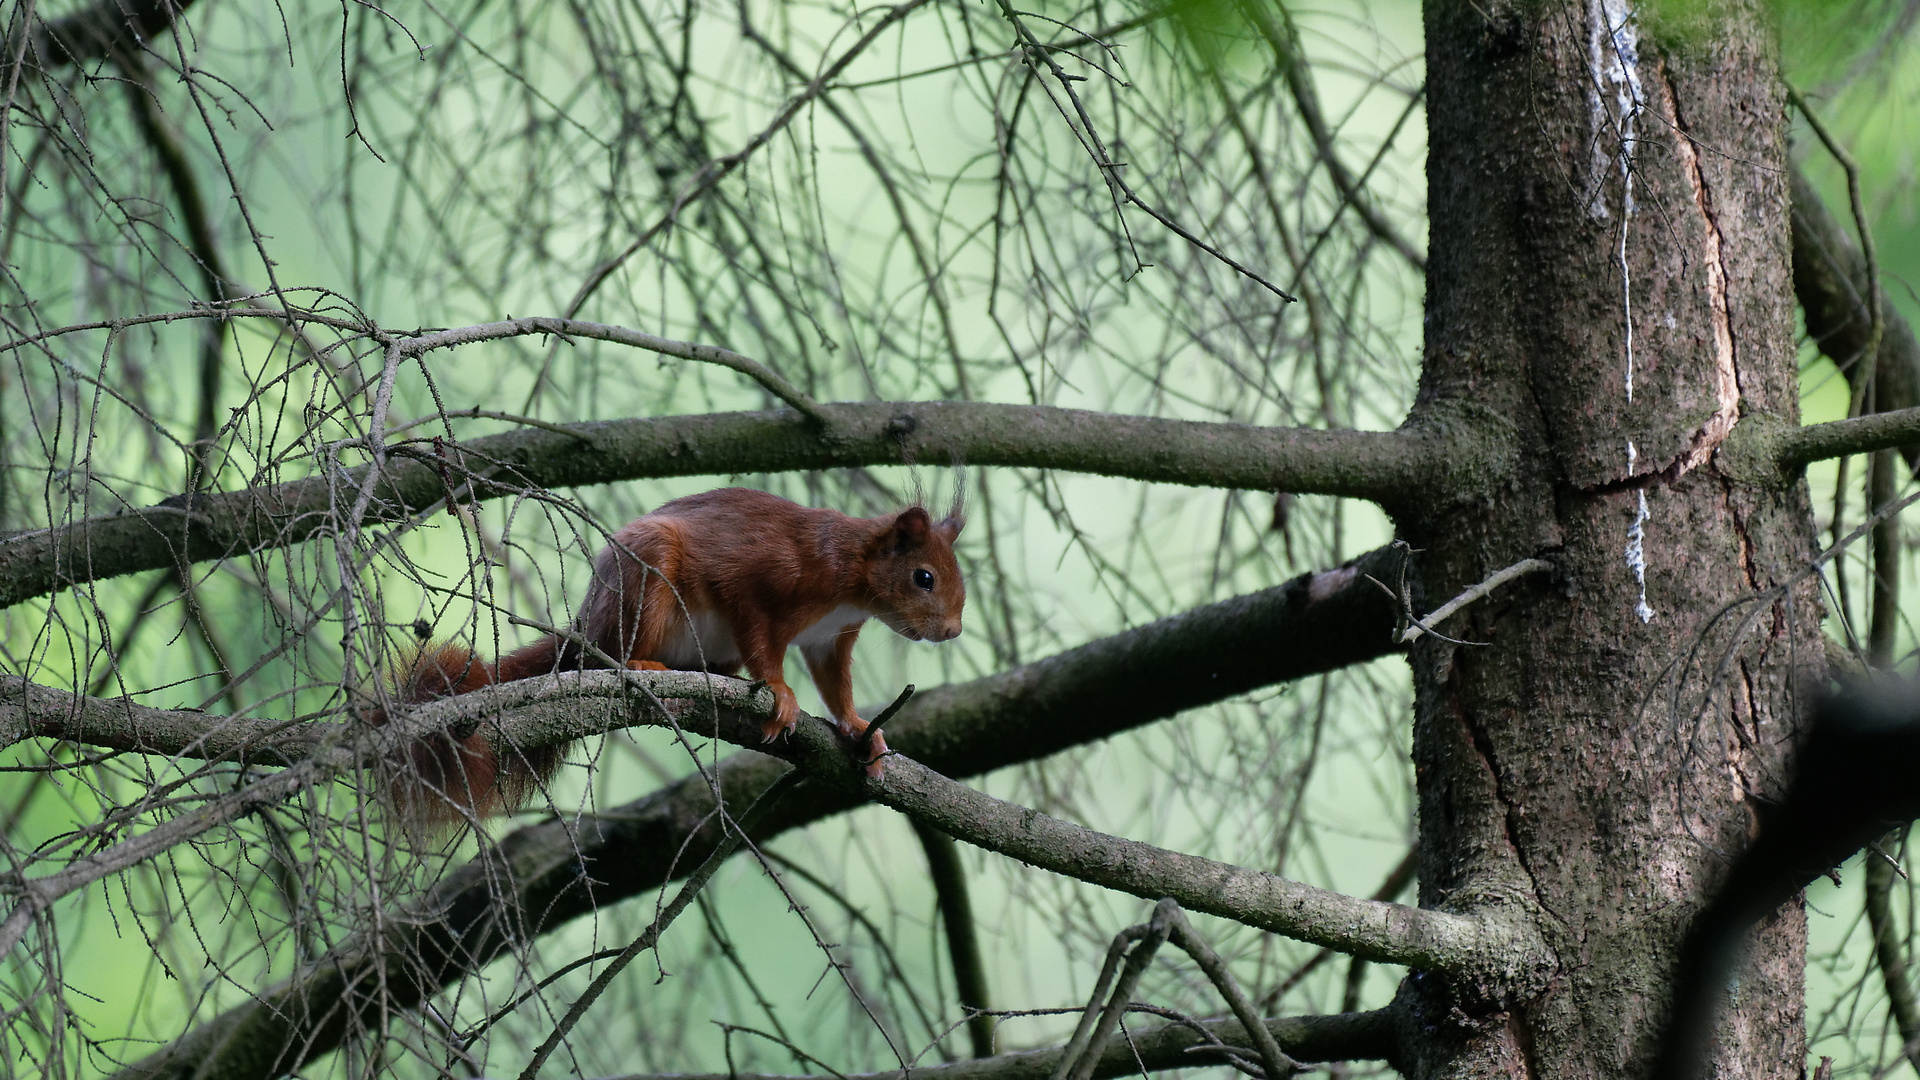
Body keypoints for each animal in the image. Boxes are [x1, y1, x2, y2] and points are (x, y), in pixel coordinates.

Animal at [393, 488, 960, 822]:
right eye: (923, 577)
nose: (953, 631)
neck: (850, 574)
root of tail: (586, 627)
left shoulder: (830, 637)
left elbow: (835, 683)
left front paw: (860, 727)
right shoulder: (760, 582)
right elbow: (762, 642)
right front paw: (779, 693)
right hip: (646, 578)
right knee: (615, 654)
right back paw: (641, 667)